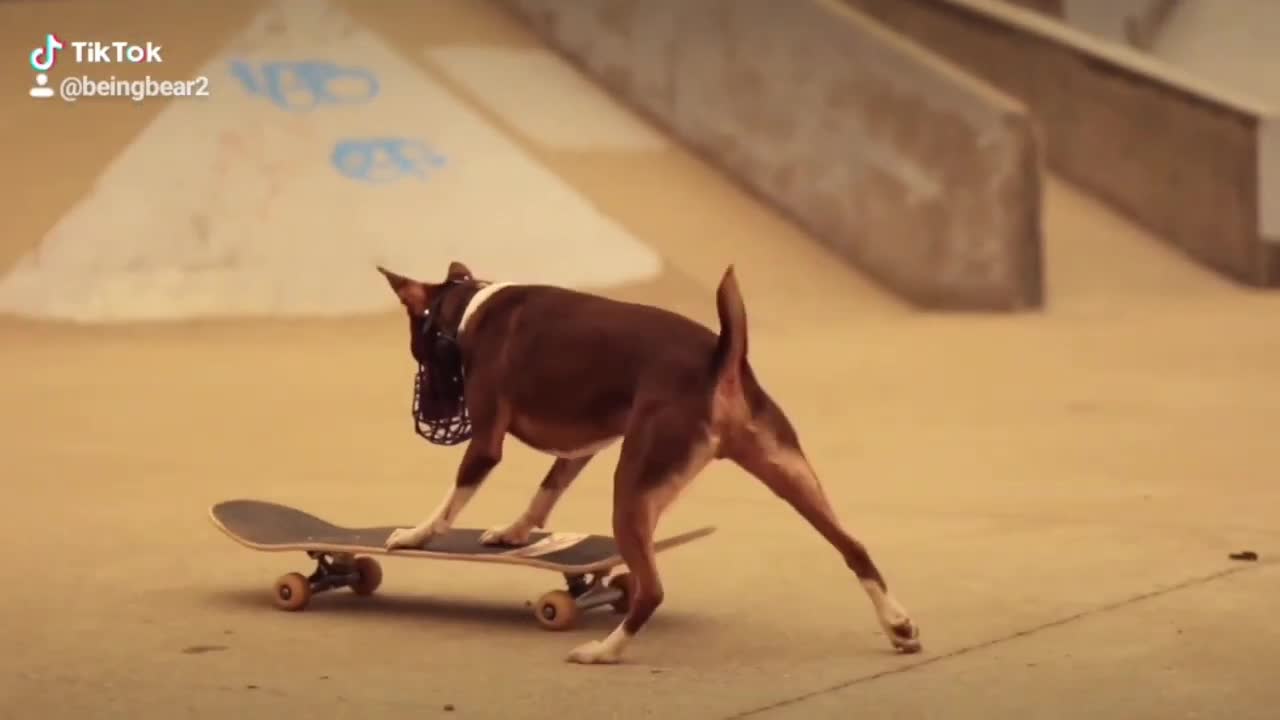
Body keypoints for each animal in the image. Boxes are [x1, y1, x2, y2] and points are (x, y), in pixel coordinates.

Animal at [373, 258, 921, 661]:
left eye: (419, 354)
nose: (428, 416)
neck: (472, 310)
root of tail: (721, 361)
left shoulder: (487, 442)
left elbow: (451, 502)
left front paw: (415, 536)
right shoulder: (583, 447)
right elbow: (546, 491)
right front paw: (515, 532)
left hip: (632, 493)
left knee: (651, 591)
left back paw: (603, 652)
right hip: (789, 475)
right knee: (854, 548)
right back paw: (897, 626)